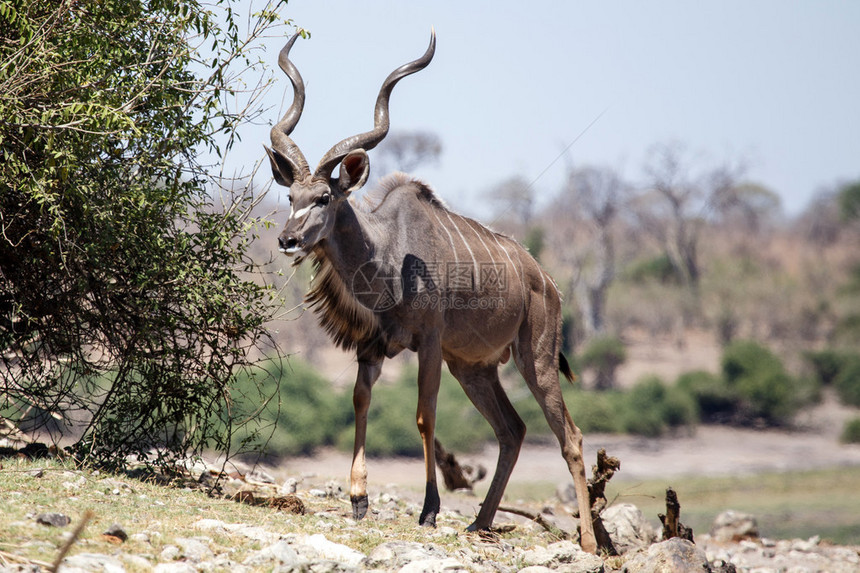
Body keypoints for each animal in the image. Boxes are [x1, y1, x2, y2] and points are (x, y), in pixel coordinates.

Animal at [268, 30, 596, 548]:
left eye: (323, 197)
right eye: (290, 196)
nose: (288, 240)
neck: (389, 254)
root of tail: (546, 281)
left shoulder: (429, 343)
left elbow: (425, 416)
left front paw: (429, 509)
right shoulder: (373, 345)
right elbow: (360, 400)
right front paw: (358, 499)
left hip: (535, 358)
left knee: (571, 436)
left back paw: (586, 542)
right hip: (473, 368)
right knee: (513, 429)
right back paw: (480, 522)